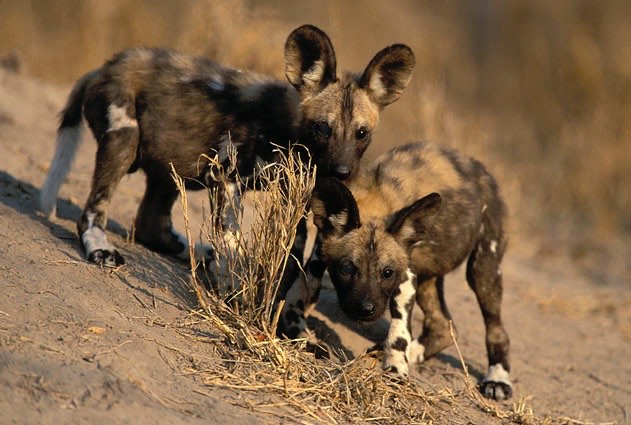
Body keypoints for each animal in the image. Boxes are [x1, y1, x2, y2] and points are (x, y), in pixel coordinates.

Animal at [38, 24, 414, 266]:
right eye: (323, 128)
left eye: (362, 134)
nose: (342, 172)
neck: (287, 128)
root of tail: (106, 66)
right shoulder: (227, 179)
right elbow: (233, 240)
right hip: (123, 139)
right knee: (93, 212)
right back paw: (100, 248)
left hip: (172, 167)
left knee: (148, 222)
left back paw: (190, 252)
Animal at [304, 142, 512, 398]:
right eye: (346, 268)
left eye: (387, 273)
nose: (365, 309)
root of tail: (479, 168)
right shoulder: (319, 251)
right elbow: (307, 286)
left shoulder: (406, 275)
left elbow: (399, 329)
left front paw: (395, 368)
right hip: (428, 279)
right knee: (443, 326)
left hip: (483, 270)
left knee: (497, 329)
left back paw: (498, 379)